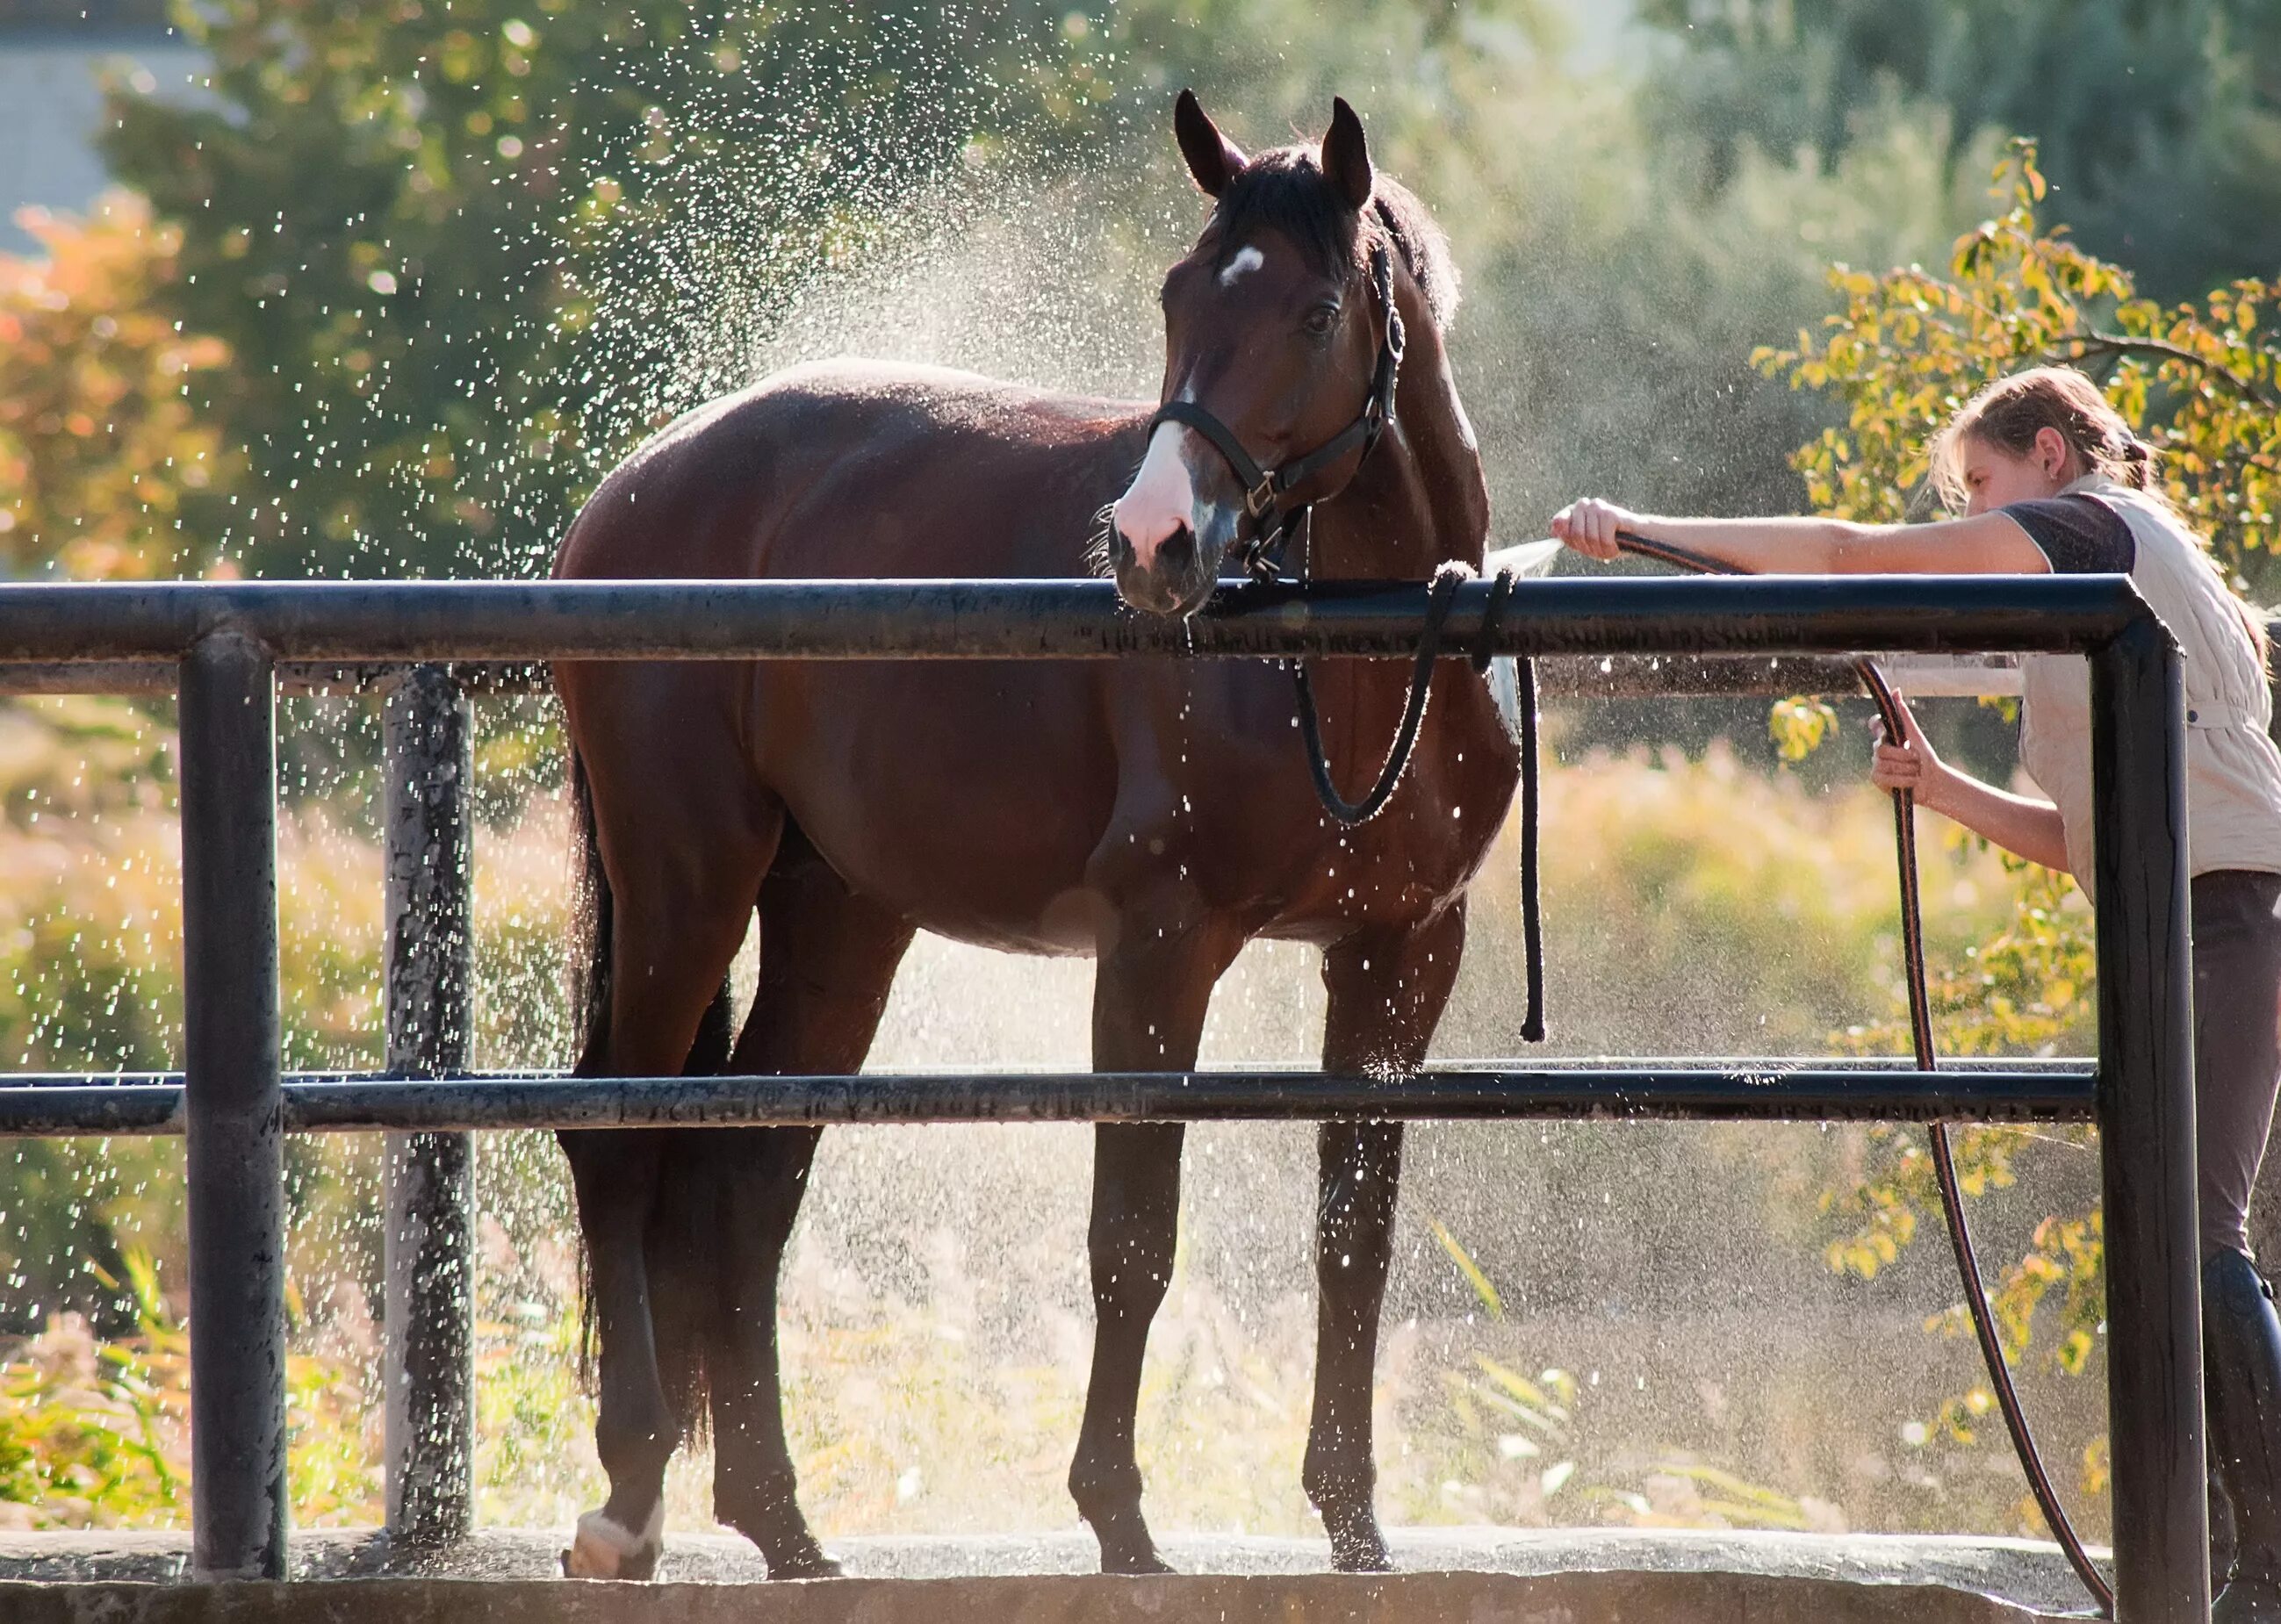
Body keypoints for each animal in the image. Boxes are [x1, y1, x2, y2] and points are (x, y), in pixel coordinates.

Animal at [550, 95, 1515, 1578]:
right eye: (1177, 293)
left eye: (1312, 312)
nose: (1155, 542)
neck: (1341, 661)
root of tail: (638, 485)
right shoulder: (1160, 946)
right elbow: (1132, 1237)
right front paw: (1118, 1515)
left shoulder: (1399, 953)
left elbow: (1352, 1235)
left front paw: (1353, 1523)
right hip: (684, 889)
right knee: (616, 1134)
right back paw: (629, 1492)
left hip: (839, 920)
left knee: (744, 1176)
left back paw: (782, 1523)